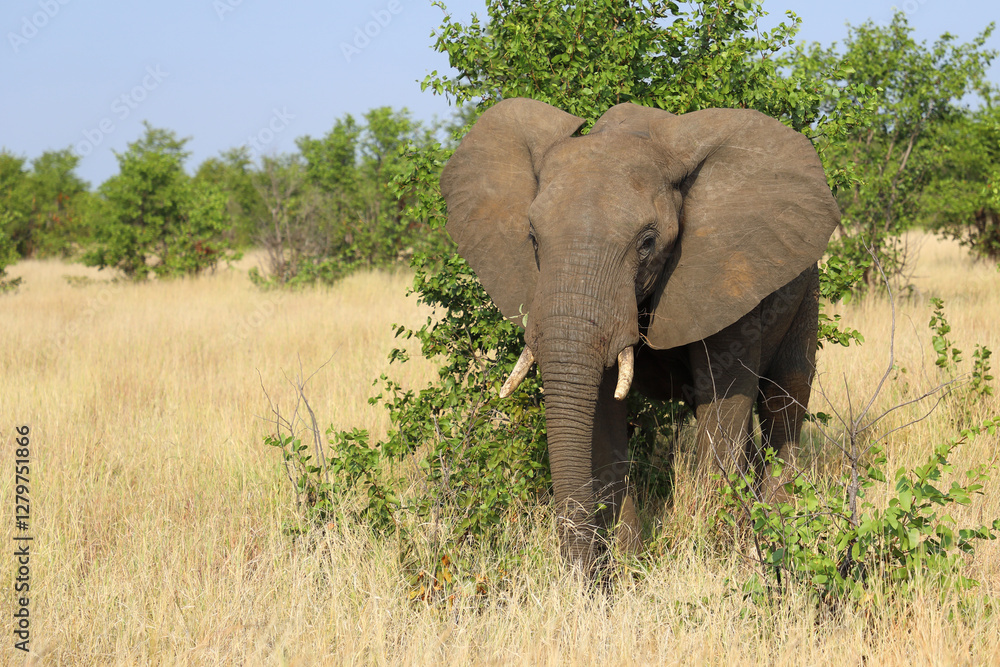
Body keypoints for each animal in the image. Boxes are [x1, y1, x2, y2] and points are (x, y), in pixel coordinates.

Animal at [440, 98, 840, 569]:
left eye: (647, 243)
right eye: (533, 240)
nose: (581, 572)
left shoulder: (727, 271)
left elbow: (724, 399)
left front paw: (712, 557)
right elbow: (601, 409)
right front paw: (629, 567)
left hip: (805, 284)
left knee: (785, 397)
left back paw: (777, 531)